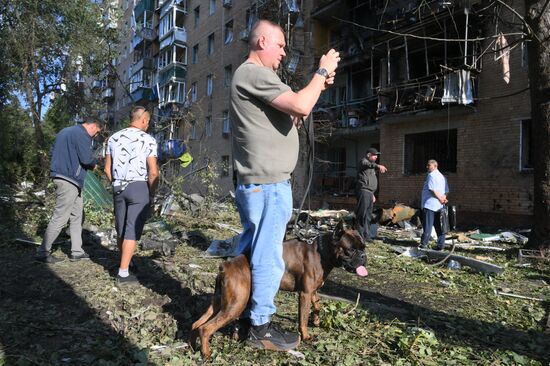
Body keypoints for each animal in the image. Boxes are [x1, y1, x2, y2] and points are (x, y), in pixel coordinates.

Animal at [191, 222, 370, 358]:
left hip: (221, 303)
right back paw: (206, 354)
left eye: (363, 247)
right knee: (205, 328)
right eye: (351, 250)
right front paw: (306, 336)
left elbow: (318, 305)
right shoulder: (305, 294)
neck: (322, 251)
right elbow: (303, 318)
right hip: (235, 305)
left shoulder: (313, 291)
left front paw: (317, 320)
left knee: (198, 324)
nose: (363, 256)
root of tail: (225, 266)